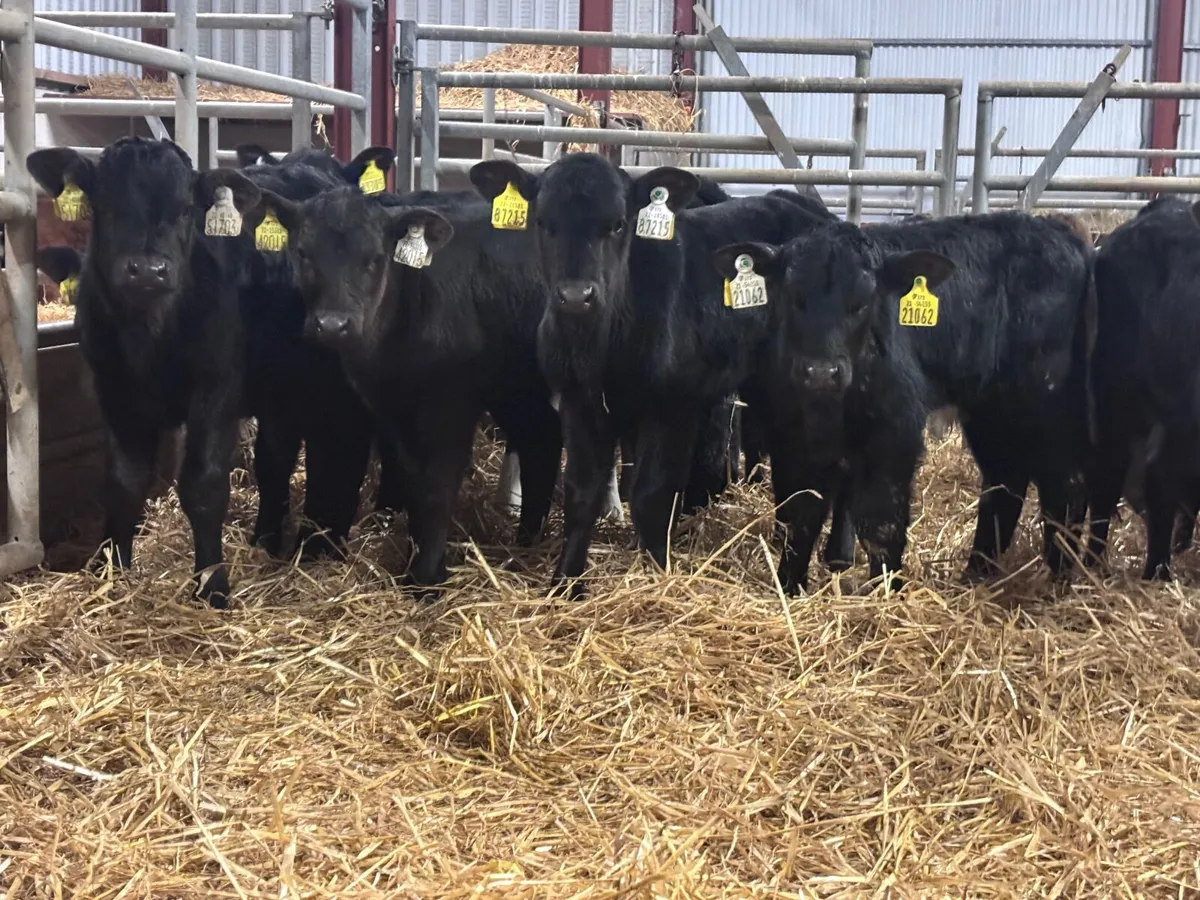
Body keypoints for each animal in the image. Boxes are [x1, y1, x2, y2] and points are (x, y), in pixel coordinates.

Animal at [27, 137, 263, 607]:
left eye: (187, 210)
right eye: (105, 204)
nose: (149, 270)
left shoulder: (218, 388)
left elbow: (204, 485)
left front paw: (211, 582)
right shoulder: (115, 391)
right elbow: (124, 482)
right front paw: (111, 568)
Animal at [468, 153, 848, 597]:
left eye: (618, 223)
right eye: (543, 222)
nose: (576, 295)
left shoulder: (674, 403)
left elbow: (652, 496)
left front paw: (657, 574)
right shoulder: (580, 401)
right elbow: (582, 492)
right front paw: (565, 583)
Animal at [714, 211, 1094, 593]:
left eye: (862, 302)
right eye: (795, 297)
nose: (821, 373)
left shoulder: (896, 431)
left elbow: (882, 522)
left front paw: (885, 589)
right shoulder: (790, 434)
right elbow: (799, 513)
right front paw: (790, 585)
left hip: (1048, 407)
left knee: (1065, 487)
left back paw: (1058, 580)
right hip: (992, 412)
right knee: (1005, 483)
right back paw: (976, 575)